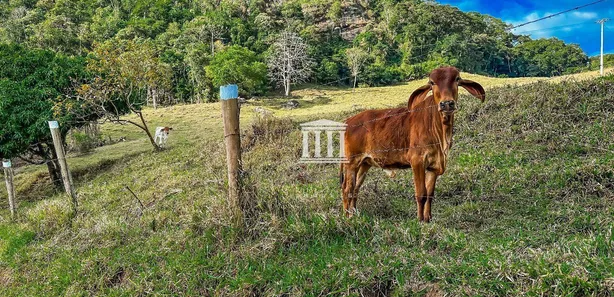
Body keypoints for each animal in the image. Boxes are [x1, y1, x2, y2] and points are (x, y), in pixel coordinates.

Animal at [342, 66, 486, 221]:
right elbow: (421, 194)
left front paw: (428, 219)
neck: (440, 133)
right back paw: (346, 217)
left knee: (355, 189)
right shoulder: (417, 161)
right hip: (351, 162)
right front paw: (420, 220)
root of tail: (349, 120)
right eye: (432, 82)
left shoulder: (434, 167)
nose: (447, 103)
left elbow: (429, 195)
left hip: (365, 163)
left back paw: (354, 214)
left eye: (457, 79)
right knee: (347, 189)